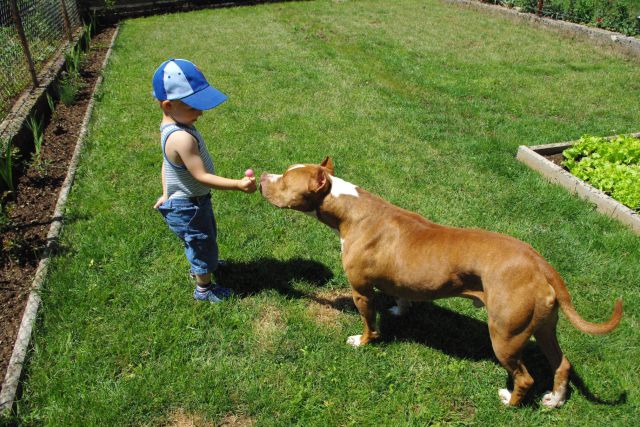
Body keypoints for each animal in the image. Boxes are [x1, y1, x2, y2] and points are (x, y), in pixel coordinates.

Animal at [258, 157, 624, 408]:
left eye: (286, 180)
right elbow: (402, 295)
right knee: (561, 363)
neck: (349, 208)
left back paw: (510, 402)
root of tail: (541, 264)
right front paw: (400, 310)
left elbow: (368, 322)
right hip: (543, 325)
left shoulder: (361, 290)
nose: (261, 175)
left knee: (525, 377)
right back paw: (555, 399)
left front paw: (363, 341)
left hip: (505, 335)